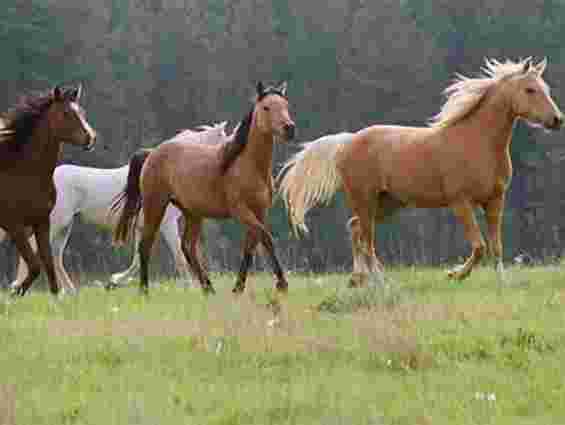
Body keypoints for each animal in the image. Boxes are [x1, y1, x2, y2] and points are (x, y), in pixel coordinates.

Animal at [0, 84, 96, 296]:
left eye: (82, 112)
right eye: (66, 113)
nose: (90, 138)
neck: (24, 173)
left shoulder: (41, 222)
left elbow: (48, 264)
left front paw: (55, 298)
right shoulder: (14, 226)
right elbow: (35, 266)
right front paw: (15, 292)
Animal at [1, 119, 231, 292]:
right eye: (224, 138)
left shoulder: (141, 226)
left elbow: (137, 258)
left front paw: (114, 281)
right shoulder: (167, 224)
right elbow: (179, 256)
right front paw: (190, 287)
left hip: (65, 226)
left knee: (55, 256)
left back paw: (69, 291)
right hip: (57, 222)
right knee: (37, 249)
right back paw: (19, 286)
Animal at [110, 82, 296, 294]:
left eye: (286, 105)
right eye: (266, 107)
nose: (289, 128)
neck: (247, 164)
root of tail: (151, 153)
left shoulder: (259, 211)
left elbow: (252, 246)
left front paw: (238, 288)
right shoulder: (241, 211)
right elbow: (266, 237)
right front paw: (281, 284)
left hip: (192, 213)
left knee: (187, 247)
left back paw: (208, 288)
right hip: (155, 205)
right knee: (146, 244)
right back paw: (145, 291)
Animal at [280, 58, 560, 286]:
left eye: (546, 89)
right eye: (530, 89)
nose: (558, 120)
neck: (477, 142)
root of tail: (347, 142)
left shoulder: (495, 200)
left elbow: (496, 246)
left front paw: (502, 283)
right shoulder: (460, 202)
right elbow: (479, 246)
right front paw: (455, 274)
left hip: (387, 203)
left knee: (355, 229)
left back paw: (358, 279)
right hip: (364, 199)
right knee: (366, 241)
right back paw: (381, 282)